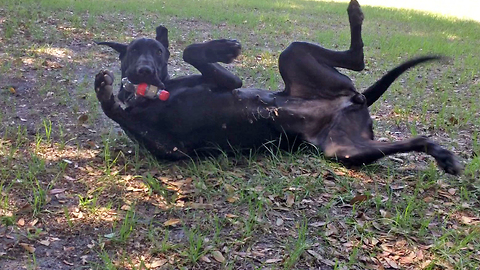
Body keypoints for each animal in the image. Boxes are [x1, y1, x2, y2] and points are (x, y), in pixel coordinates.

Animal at [93, 0, 462, 175]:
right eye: (133, 52)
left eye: (157, 52)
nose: (143, 70)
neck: (151, 95)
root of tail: (351, 101)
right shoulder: (169, 147)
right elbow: (118, 112)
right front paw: (106, 93)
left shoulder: (227, 81)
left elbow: (190, 51)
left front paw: (222, 48)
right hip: (344, 150)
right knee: (411, 136)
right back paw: (440, 153)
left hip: (293, 53)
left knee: (356, 59)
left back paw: (355, 13)